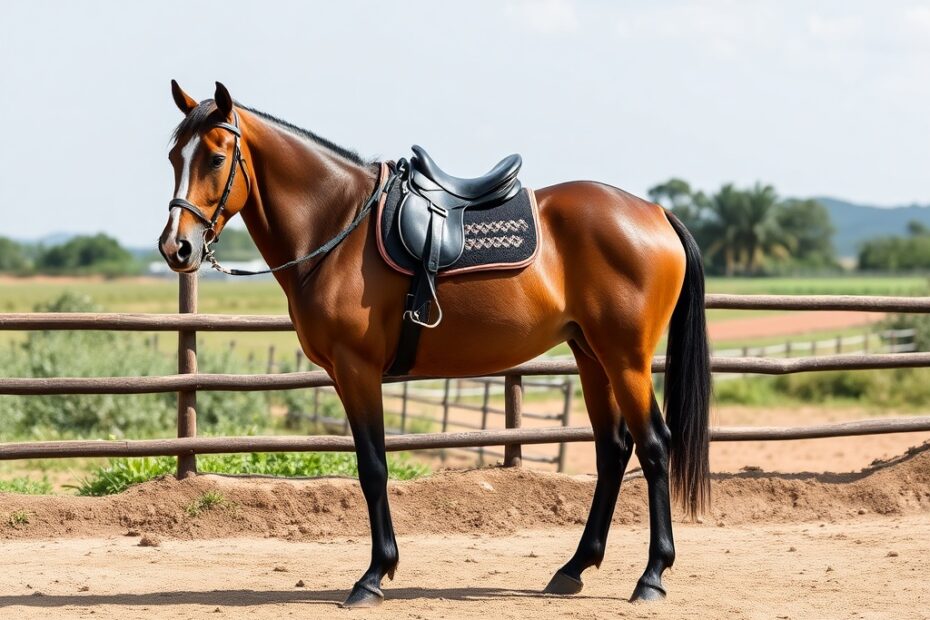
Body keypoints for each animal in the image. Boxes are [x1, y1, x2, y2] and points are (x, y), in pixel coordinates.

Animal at [158, 81, 711, 608]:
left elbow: (373, 468)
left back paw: (652, 576)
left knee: (654, 446)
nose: (175, 247)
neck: (338, 225)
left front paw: (373, 576)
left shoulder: (357, 370)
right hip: (592, 355)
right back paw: (573, 567)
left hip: (626, 359)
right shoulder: (346, 374)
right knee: (613, 450)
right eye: (174, 158)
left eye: (215, 158)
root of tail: (656, 213)